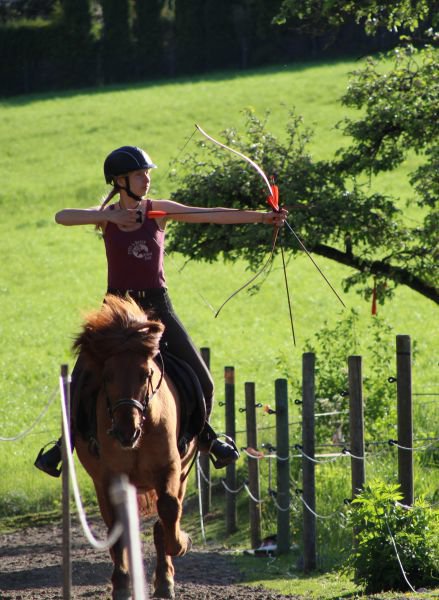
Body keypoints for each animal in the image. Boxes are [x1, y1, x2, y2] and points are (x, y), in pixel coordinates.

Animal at [72, 294, 197, 600]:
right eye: (106, 376)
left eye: (146, 374)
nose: (125, 431)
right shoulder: (110, 478)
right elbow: (118, 528)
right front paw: (121, 583)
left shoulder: (171, 469)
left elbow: (169, 509)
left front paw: (180, 545)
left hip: (182, 473)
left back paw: (163, 579)